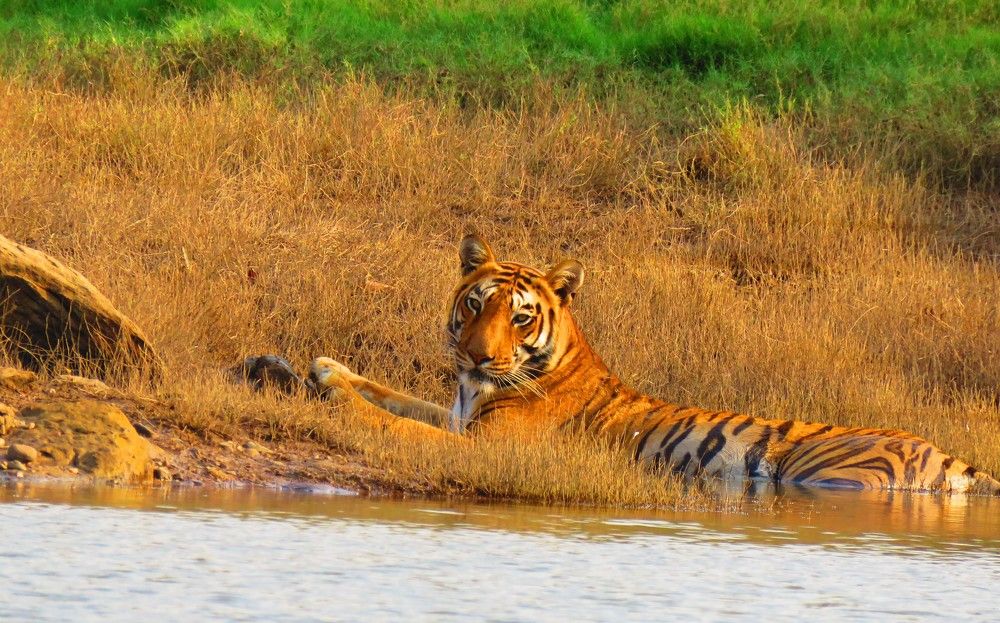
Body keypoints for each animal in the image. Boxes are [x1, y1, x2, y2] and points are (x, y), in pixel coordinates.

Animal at [306, 234, 1000, 495]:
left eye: (521, 318)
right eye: (476, 304)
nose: (479, 354)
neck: (474, 389)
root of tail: (952, 455)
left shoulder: (487, 447)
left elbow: (397, 422)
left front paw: (338, 399)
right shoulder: (456, 415)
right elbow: (398, 397)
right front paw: (327, 368)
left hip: (830, 474)